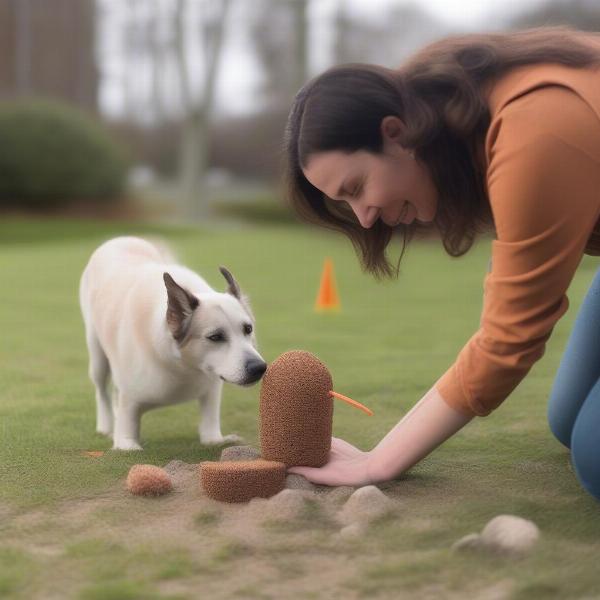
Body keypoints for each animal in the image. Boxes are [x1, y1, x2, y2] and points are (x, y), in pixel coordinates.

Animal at [78, 236, 266, 450]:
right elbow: (127, 435)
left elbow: (210, 421)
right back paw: (105, 425)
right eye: (215, 337)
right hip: (97, 356)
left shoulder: (212, 387)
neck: (183, 368)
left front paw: (215, 439)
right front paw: (125, 441)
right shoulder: (128, 398)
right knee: (101, 390)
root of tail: (121, 238)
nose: (259, 367)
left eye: (248, 329)